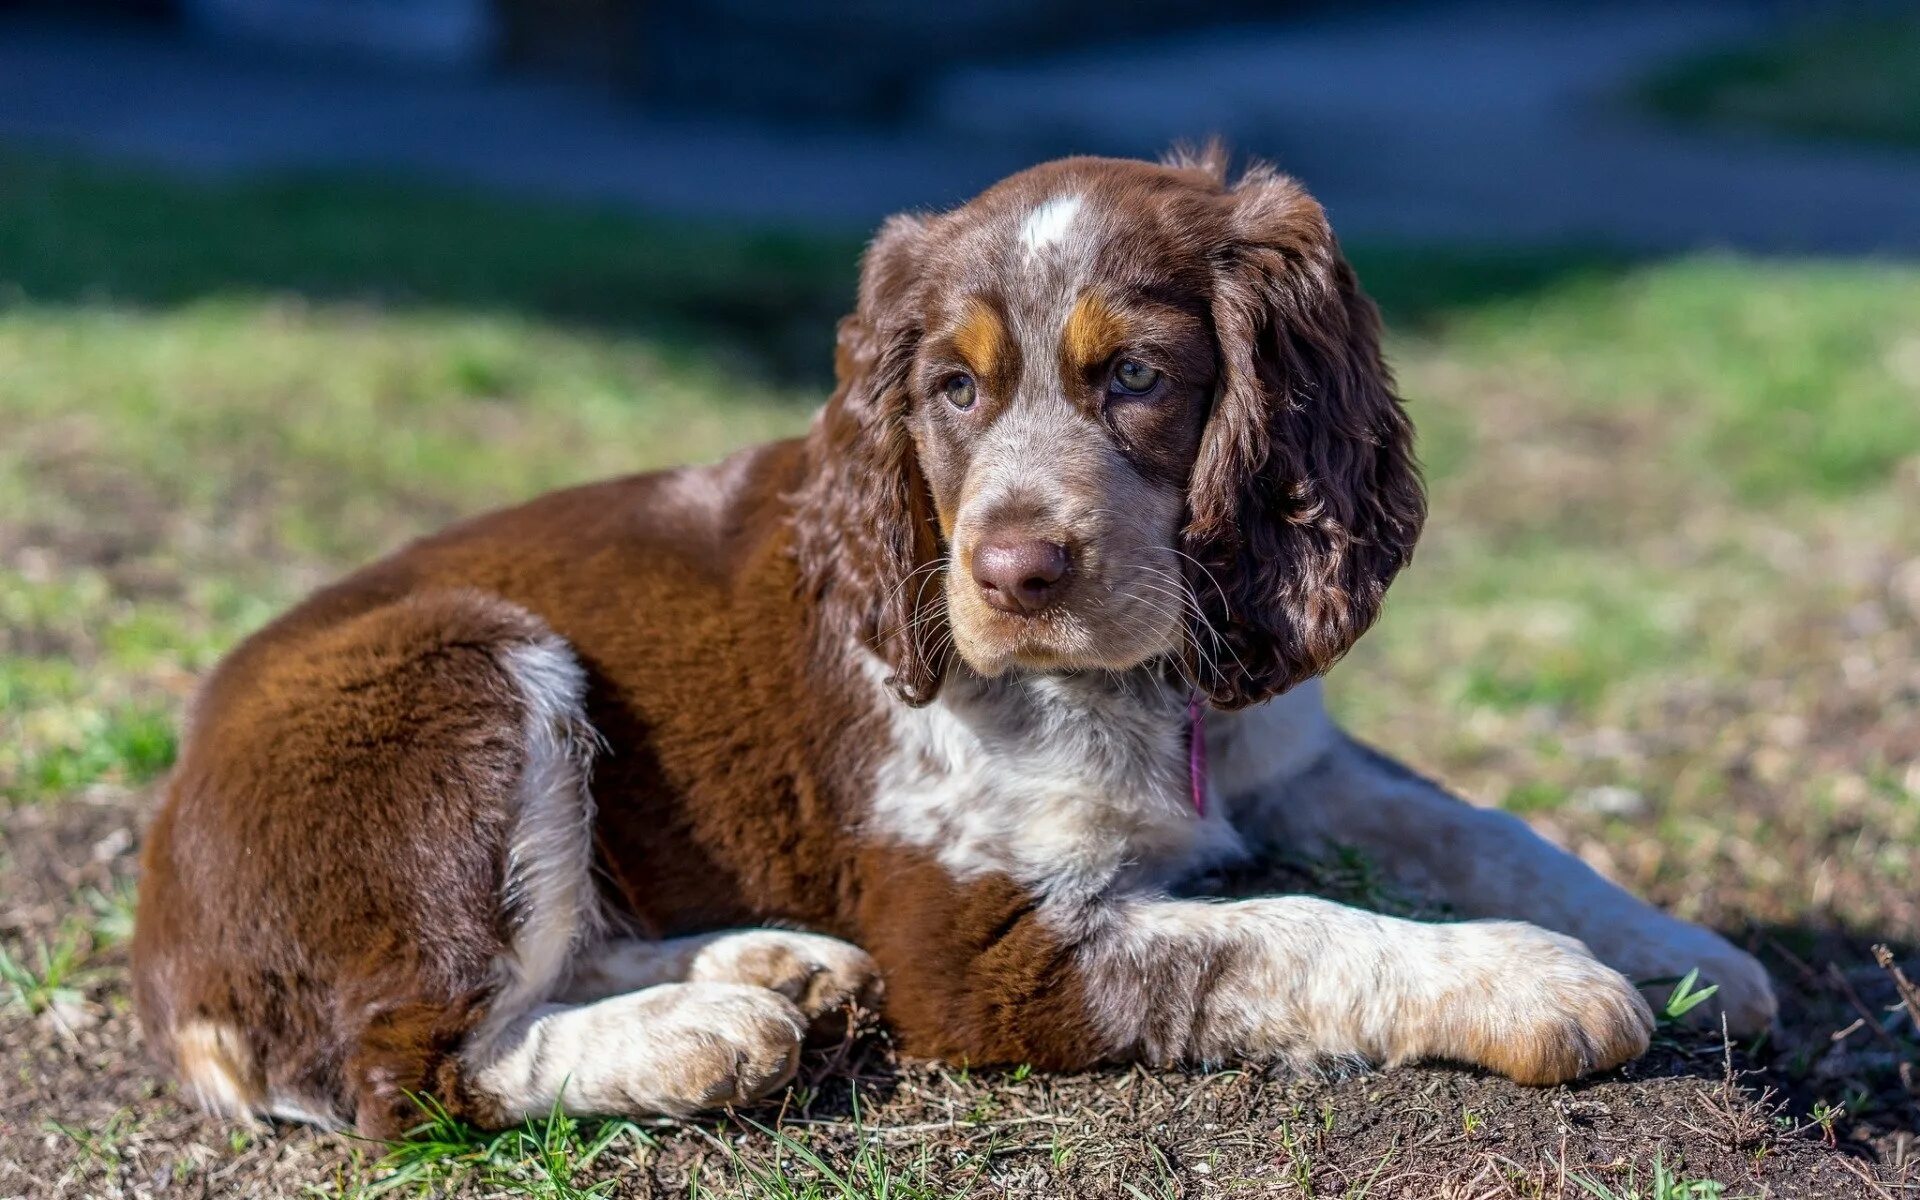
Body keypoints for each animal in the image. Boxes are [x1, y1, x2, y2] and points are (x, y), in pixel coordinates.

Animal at [131, 149, 1781, 1128]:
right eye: (952, 389)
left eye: (1138, 378)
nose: (1013, 572)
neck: (1151, 681)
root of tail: (164, 936)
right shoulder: (982, 948)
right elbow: (1285, 932)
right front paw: (1538, 985)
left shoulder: (1291, 751)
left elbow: (1492, 828)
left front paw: (1692, 951)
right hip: (469, 671)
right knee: (421, 1063)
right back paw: (696, 1035)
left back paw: (777, 969)